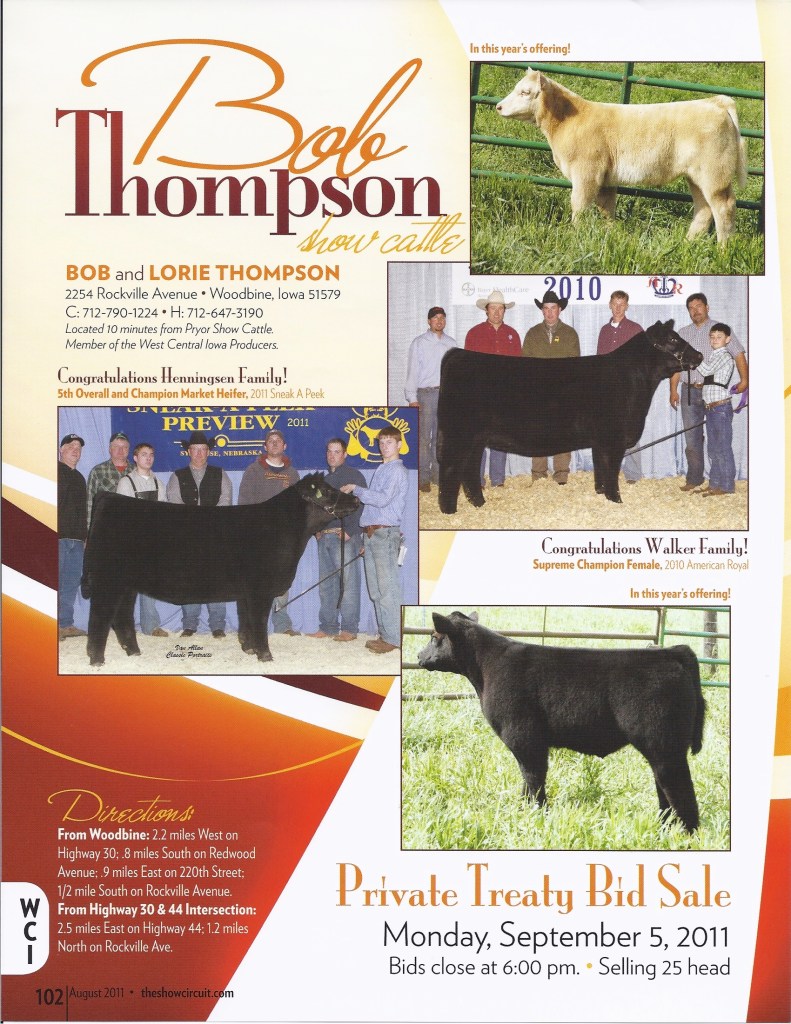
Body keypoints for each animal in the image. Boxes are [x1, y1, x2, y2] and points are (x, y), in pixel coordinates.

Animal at [80, 473, 360, 666]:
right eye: (326, 491)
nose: (356, 498)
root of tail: (109, 497)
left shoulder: (246, 592)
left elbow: (246, 620)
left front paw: (249, 648)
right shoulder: (260, 590)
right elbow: (259, 622)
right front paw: (265, 655)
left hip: (127, 585)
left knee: (121, 617)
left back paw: (134, 651)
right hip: (108, 581)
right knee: (99, 617)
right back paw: (96, 659)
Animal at [417, 611, 705, 832]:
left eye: (434, 637)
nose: (419, 656)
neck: (486, 668)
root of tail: (670, 652)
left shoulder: (524, 738)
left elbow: (533, 779)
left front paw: (536, 815)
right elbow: (527, 782)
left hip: (664, 747)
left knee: (680, 790)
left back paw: (686, 834)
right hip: (662, 750)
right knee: (664, 789)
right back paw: (663, 828)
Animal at [436, 319, 702, 511]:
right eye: (672, 338)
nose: (699, 355)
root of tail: (458, 353)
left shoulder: (600, 440)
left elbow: (601, 468)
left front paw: (601, 494)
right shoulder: (613, 438)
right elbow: (612, 471)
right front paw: (616, 500)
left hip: (476, 439)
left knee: (470, 470)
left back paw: (479, 503)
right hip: (458, 435)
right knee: (451, 469)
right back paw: (449, 510)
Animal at [495, 69, 747, 244]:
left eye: (525, 92)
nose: (498, 107)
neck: (569, 120)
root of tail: (716, 102)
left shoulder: (586, 173)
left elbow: (579, 205)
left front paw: (575, 234)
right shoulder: (606, 180)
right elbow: (606, 208)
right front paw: (611, 235)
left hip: (714, 174)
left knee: (723, 206)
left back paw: (723, 248)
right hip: (695, 176)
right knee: (704, 208)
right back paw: (688, 243)